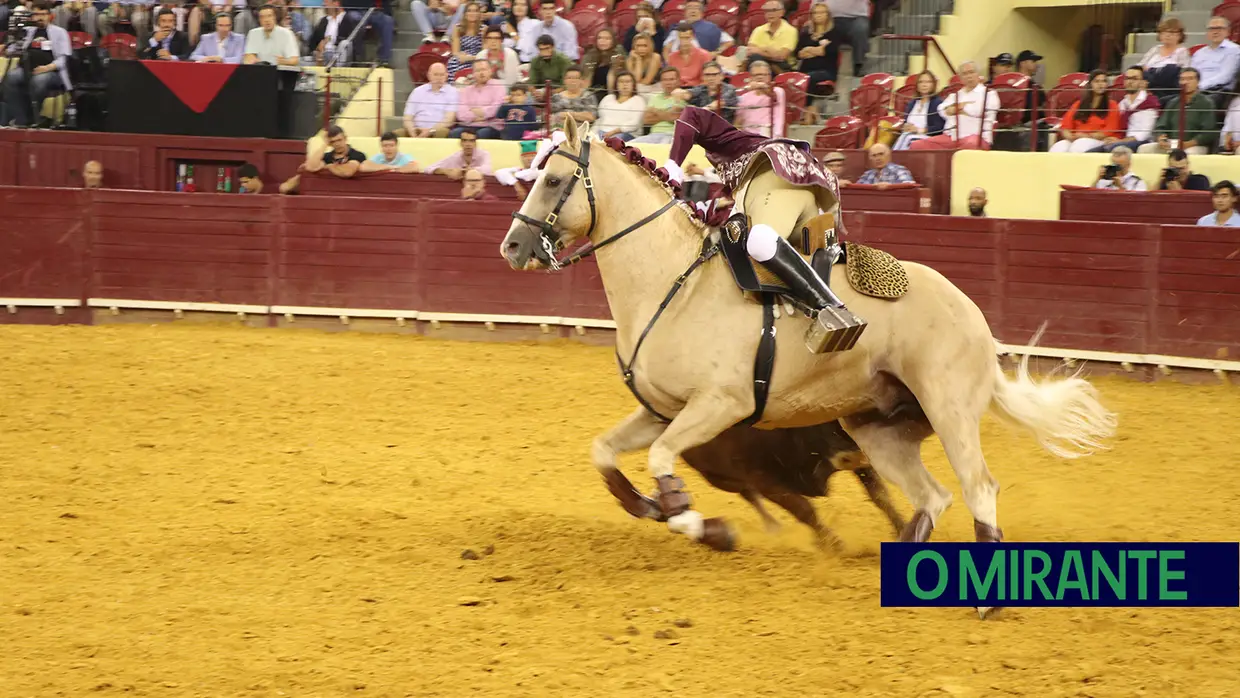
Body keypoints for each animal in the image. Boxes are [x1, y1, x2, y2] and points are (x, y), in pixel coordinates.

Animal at [498, 119, 1120, 612]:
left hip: (949, 411)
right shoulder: (662, 410)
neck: (673, 282)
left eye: (551, 180)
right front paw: (673, 515)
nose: (511, 248)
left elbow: (660, 461)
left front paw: (704, 524)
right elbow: (605, 454)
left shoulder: (719, 405)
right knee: (932, 496)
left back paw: (985, 602)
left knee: (978, 486)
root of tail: (973, 315)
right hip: (878, 429)